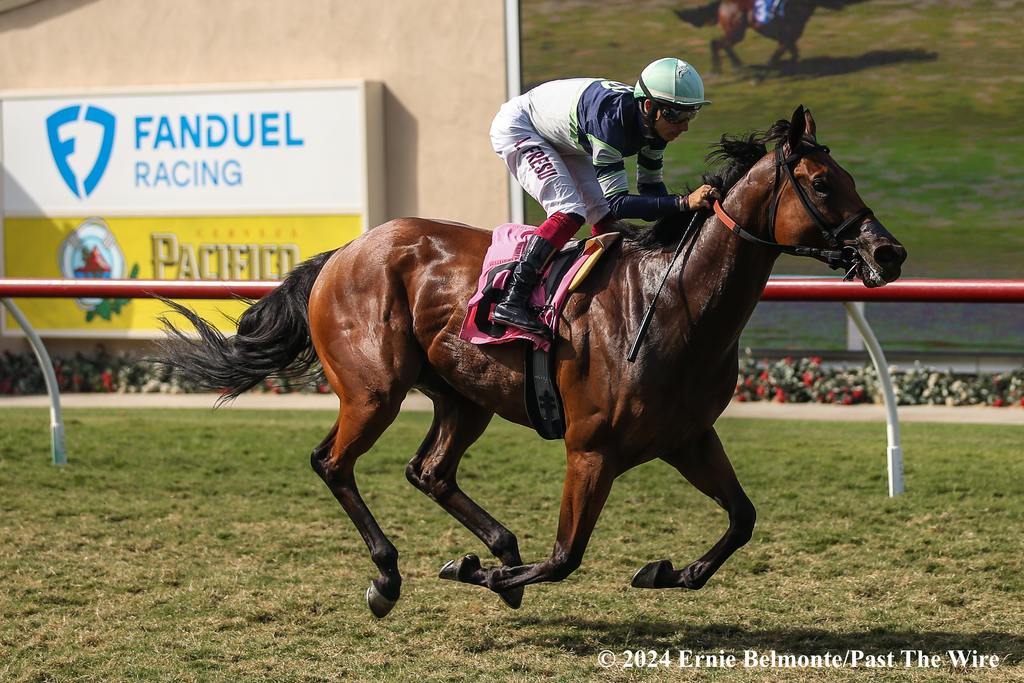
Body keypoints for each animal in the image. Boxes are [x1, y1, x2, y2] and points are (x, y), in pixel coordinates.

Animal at [157, 107, 905, 618]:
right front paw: (477, 574)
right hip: (374, 391)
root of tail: (345, 251)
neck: (672, 304)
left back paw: (497, 546)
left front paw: (667, 571)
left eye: (847, 177)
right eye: (821, 183)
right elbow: (567, 556)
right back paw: (391, 576)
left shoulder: (688, 437)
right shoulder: (591, 448)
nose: (888, 252)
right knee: (333, 463)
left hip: (463, 396)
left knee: (428, 470)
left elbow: (743, 517)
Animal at [675, 0, 868, 73]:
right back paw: (722, 68)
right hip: (737, 31)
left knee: (719, 44)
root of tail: (723, 3)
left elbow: (793, 55)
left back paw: (733, 66)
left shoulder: (790, 40)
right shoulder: (786, 39)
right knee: (717, 43)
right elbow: (776, 58)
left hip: (736, 31)